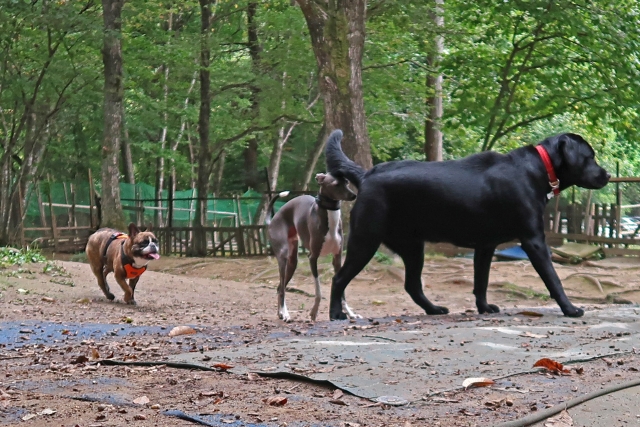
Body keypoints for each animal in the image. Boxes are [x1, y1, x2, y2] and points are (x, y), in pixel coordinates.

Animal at [264, 172, 360, 322]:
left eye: (346, 182)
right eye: (335, 184)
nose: (353, 196)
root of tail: (273, 219)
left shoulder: (337, 258)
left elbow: (341, 289)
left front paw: (350, 313)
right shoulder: (313, 257)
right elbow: (318, 290)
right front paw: (314, 312)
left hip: (292, 262)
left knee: (280, 288)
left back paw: (281, 313)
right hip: (283, 257)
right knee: (282, 289)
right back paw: (285, 313)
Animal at [324, 130, 608, 320]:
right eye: (590, 156)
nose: (607, 174)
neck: (538, 168)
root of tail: (366, 175)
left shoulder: (485, 246)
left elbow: (480, 281)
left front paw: (484, 308)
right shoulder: (534, 241)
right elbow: (553, 279)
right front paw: (570, 309)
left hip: (413, 248)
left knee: (412, 285)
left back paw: (434, 310)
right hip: (366, 240)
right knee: (339, 278)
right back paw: (336, 313)